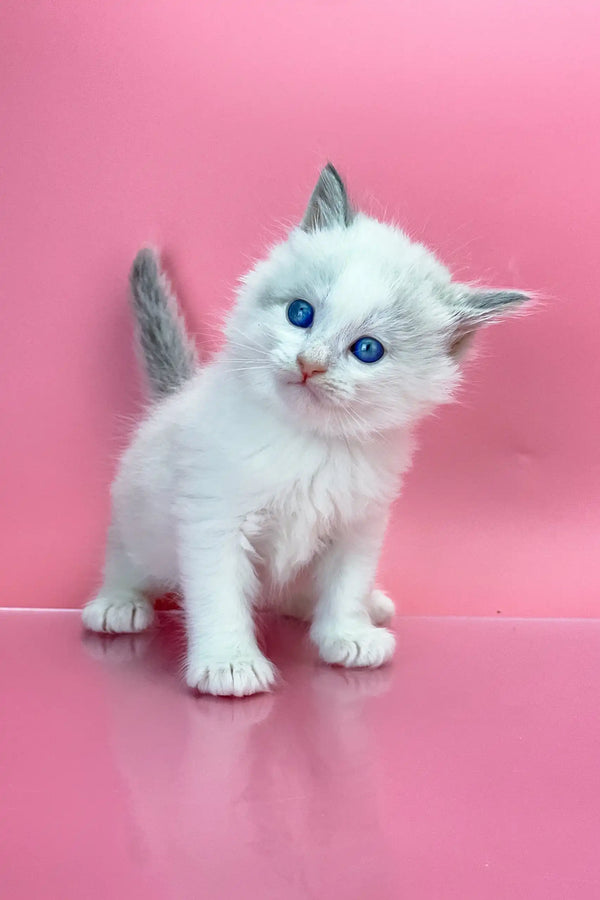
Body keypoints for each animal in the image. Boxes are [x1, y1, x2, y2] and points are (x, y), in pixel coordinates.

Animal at [82, 163, 528, 696]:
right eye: (300, 313)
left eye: (367, 350)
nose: (309, 363)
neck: (311, 444)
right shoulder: (212, 518)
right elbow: (219, 596)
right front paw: (229, 663)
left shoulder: (360, 524)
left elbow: (347, 584)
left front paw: (348, 635)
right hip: (137, 514)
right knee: (124, 556)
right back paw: (118, 603)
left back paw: (361, 605)